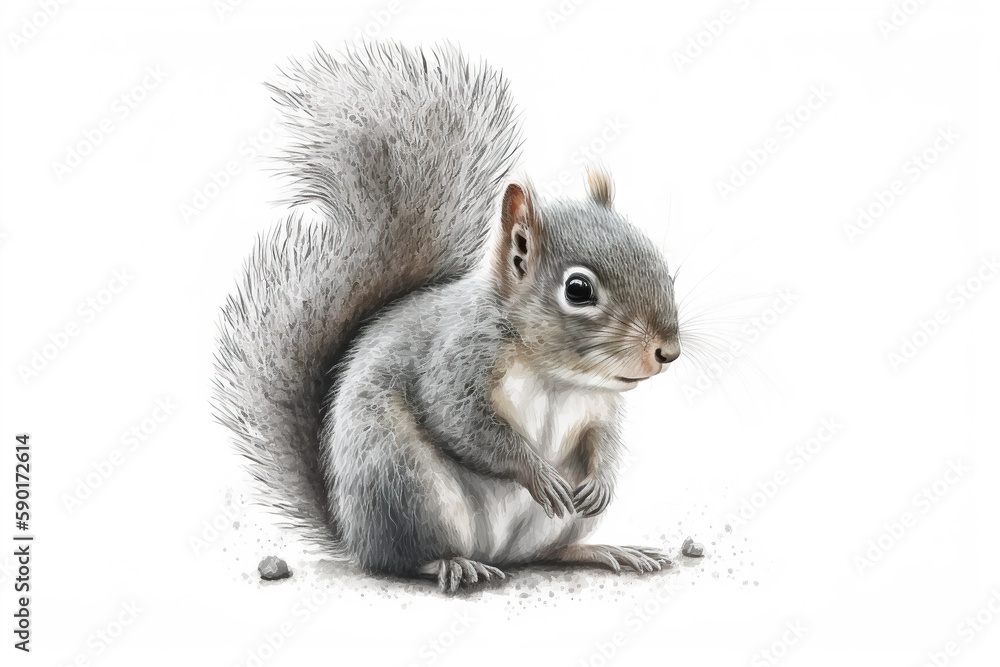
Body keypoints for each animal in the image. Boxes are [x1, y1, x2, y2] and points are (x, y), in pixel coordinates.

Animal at [213, 42, 682, 593]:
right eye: (578, 290)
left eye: (659, 263)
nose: (668, 351)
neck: (558, 376)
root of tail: (352, 535)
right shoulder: (456, 359)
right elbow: (464, 423)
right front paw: (537, 473)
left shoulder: (599, 408)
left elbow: (603, 440)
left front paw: (602, 481)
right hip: (403, 482)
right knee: (403, 558)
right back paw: (451, 563)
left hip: (538, 523)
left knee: (548, 551)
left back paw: (602, 550)